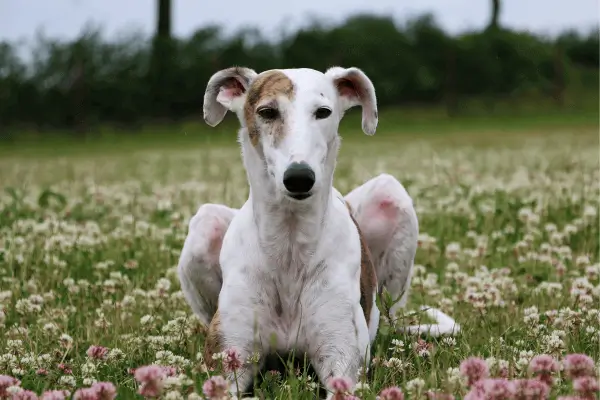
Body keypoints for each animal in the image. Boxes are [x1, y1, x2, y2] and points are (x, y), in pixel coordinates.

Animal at [177, 65, 460, 396]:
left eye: (323, 112)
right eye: (267, 112)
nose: (299, 177)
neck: (289, 241)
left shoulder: (343, 365)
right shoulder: (226, 364)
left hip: (391, 196)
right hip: (204, 226)